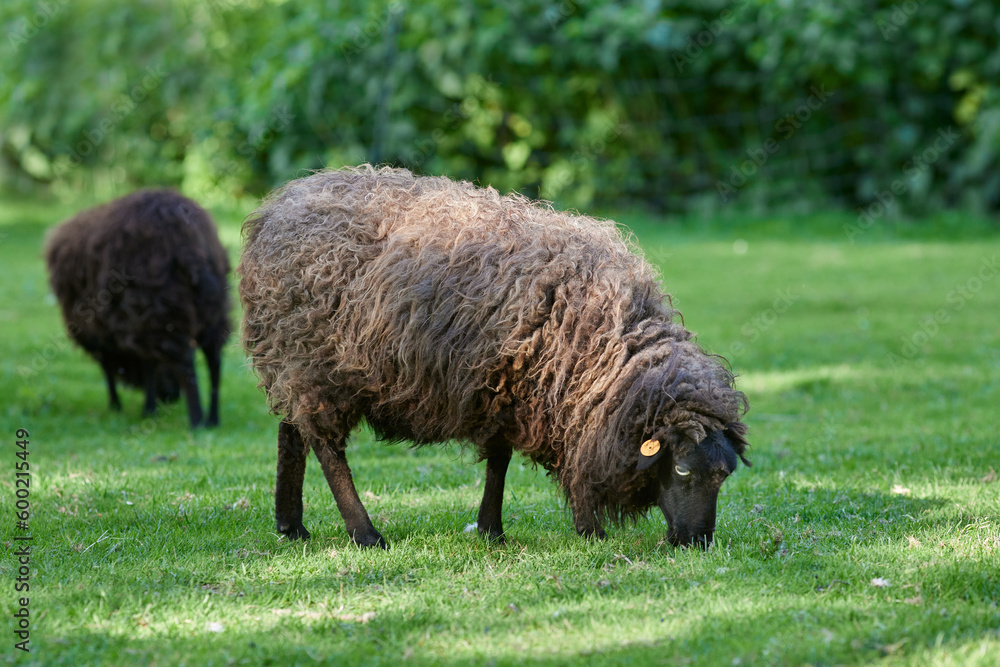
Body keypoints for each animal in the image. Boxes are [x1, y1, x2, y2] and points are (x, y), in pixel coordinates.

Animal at [45, 189, 231, 428]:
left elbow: (112, 367)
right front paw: (147, 408)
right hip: (213, 307)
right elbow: (149, 363)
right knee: (214, 358)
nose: (171, 397)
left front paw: (120, 405)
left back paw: (196, 420)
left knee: (186, 362)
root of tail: (187, 238)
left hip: (164, 310)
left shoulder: (101, 330)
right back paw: (213, 418)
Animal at [238, 165, 750, 549]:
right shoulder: (544, 396)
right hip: (313, 363)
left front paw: (492, 530)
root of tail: (277, 208)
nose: (696, 542)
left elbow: (500, 459)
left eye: (724, 476)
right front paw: (589, 530)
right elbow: (545, 463)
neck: (612, 355)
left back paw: (290, 525)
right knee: (326, 447)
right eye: (681, 469)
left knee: (292, 432)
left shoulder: (510, 391)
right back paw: (364, 533)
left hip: (295, 363)